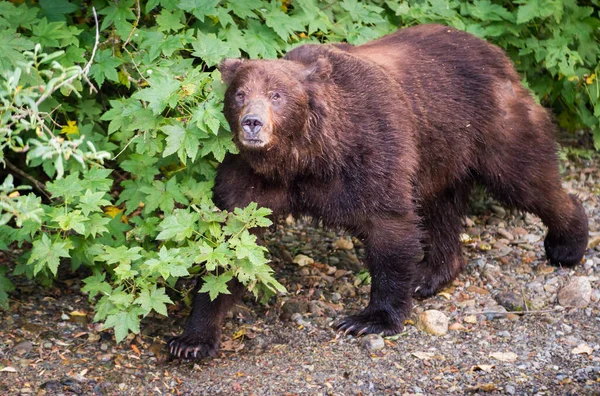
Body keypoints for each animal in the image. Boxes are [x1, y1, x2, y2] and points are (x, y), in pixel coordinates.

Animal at [166, 24, 588, 358]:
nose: (252, 123)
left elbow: (390, 226)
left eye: (277, 95)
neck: (303, 159)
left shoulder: (371, 152)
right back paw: (430, 273)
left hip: (488, 124)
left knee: (526, 179)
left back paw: (568, 243)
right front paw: (190, 340)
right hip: (439, 152)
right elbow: (230, 251)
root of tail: (495, 51)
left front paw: (369, 319)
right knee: (441, 210)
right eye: (239, 94)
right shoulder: (250, 180)